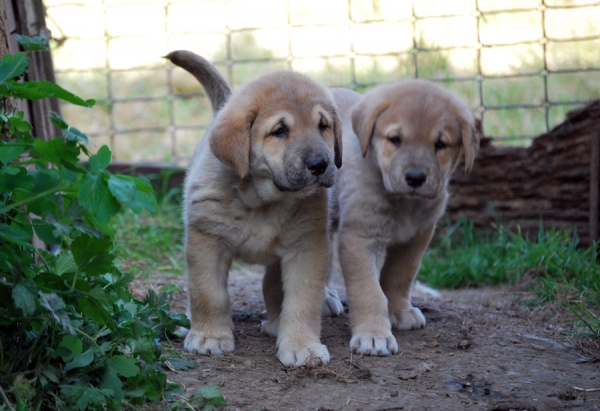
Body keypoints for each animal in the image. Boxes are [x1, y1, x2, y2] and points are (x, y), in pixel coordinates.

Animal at [166, 50, 342, 368]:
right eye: (280, 131)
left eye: (323, 126)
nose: (321, 164)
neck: (262, 201)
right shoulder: (205, 239)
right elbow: (207, 293)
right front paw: (209, 336)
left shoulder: (307, 246)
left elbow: (302, 300)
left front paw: (302, 345)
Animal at [328, 81, 478, 358]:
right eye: (395, 139)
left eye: (440, 144)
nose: (416, 178)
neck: (404, 204)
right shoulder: (360, 239)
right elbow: (369, 291)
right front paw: (373, 335)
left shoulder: (416, 238)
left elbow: (400, 277)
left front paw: (399, 311)